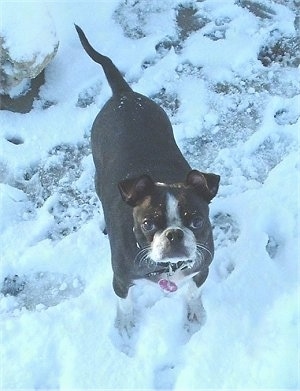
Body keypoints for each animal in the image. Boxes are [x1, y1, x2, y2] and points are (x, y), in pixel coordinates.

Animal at [75, 23, 220, 330]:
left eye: (197, 221)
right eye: (147, 223)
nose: (174, 234)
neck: (169, 268)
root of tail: (123, 95)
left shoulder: (202, 268)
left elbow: (193, 291)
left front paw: (194, 312)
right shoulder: (120, 279)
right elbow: (125, 302)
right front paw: (125, 324)